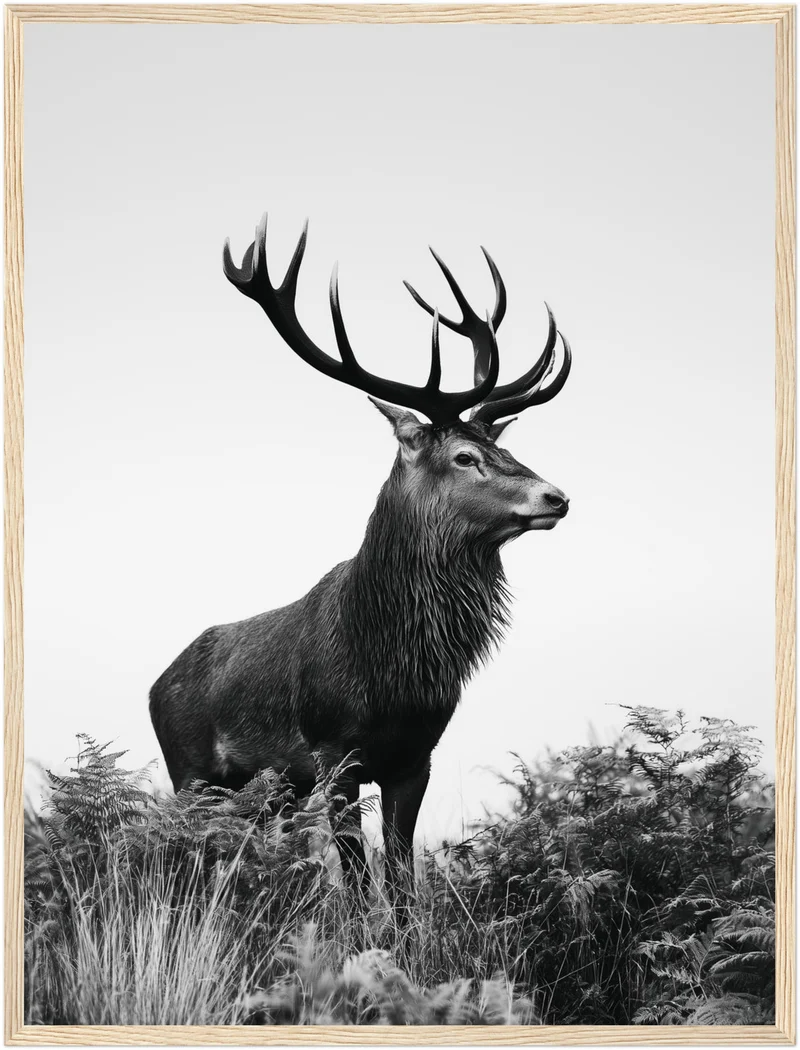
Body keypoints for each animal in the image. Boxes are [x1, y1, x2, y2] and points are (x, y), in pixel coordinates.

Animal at [149, 212, 572, 904]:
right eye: (464, 457)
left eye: (503, 448)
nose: (557, 496)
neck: (389, 665)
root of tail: (156, 683)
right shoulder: (334, 753)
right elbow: (355, 877)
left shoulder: (415, 757)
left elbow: (399, 878)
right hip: (189, 771)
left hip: (268, 793)